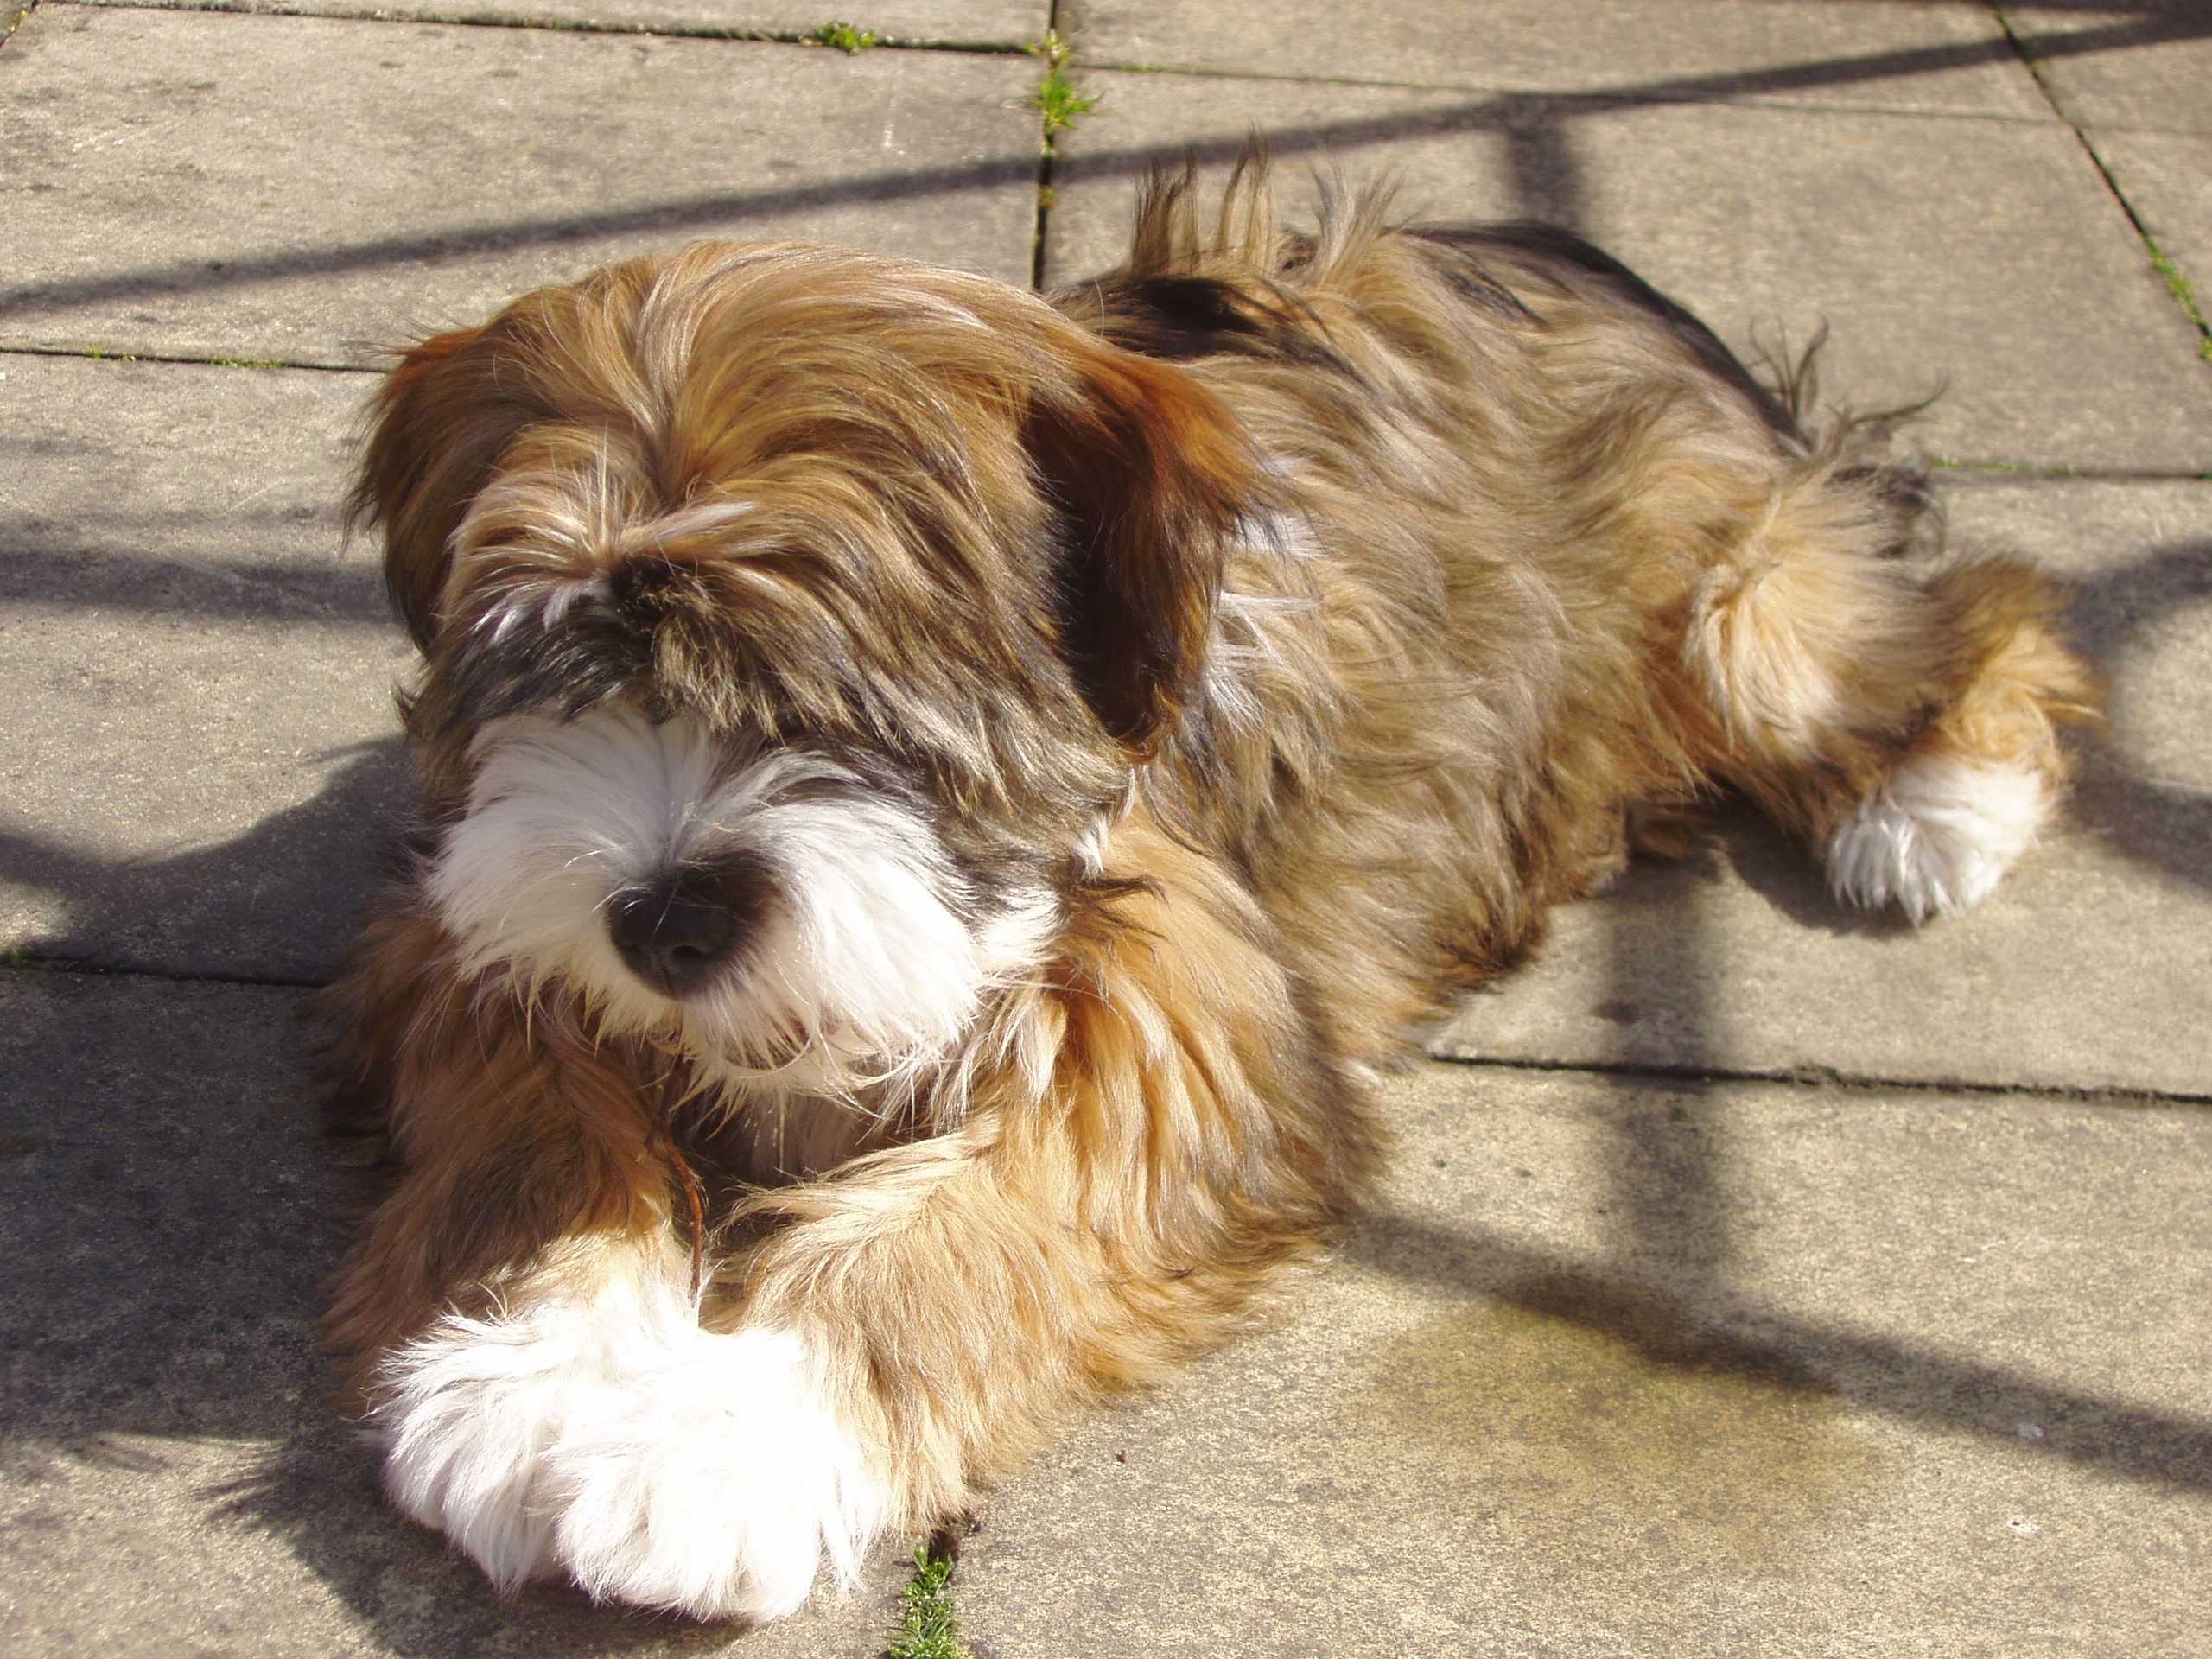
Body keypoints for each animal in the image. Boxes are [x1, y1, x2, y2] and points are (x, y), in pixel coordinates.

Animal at [321, 159, 2096, 1628]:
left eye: (842, 700)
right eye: (553, 662)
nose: (666, 920)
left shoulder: (1186, 1005)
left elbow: (984, 1218)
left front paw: (710, 1441)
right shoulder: (468, 915)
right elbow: (533, 1122)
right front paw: (524, 1381)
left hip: (1734, 598)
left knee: (1920, 612)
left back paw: (1938, 801)